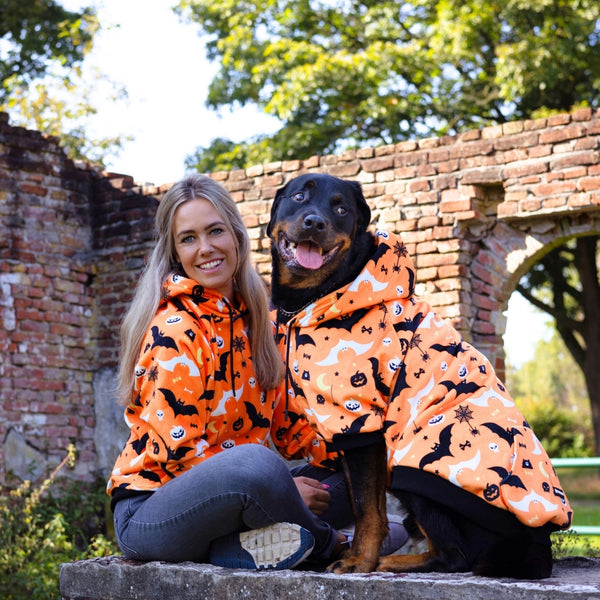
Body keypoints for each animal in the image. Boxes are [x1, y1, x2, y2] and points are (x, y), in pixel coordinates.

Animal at [270, 173, 576, 576]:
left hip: (416, 467)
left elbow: (366, 508)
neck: (319, 294)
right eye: (299, 196)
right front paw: (358, 555)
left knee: (455, 557)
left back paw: (391, 561)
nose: (314, 222)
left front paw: (360, 561)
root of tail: (537, 544)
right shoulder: (347, 431)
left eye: (341, 209)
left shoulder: (360, 423)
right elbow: (363, 502)